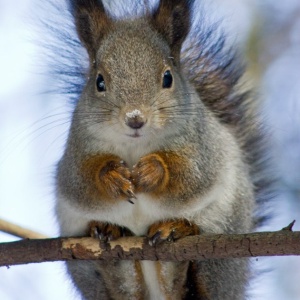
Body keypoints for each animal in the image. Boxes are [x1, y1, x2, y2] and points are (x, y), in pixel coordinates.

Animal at [55, 0, 270, 300]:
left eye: (167, 78)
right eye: (99, 82)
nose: (135, 119)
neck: (135, 145)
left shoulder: (203, 146)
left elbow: (190, 175)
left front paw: (152, 171)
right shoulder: (77, 150)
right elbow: (82, 180)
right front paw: (112, 177)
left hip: (224, 239)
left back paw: (174, 234)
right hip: (88, 273)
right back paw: (109, 239)